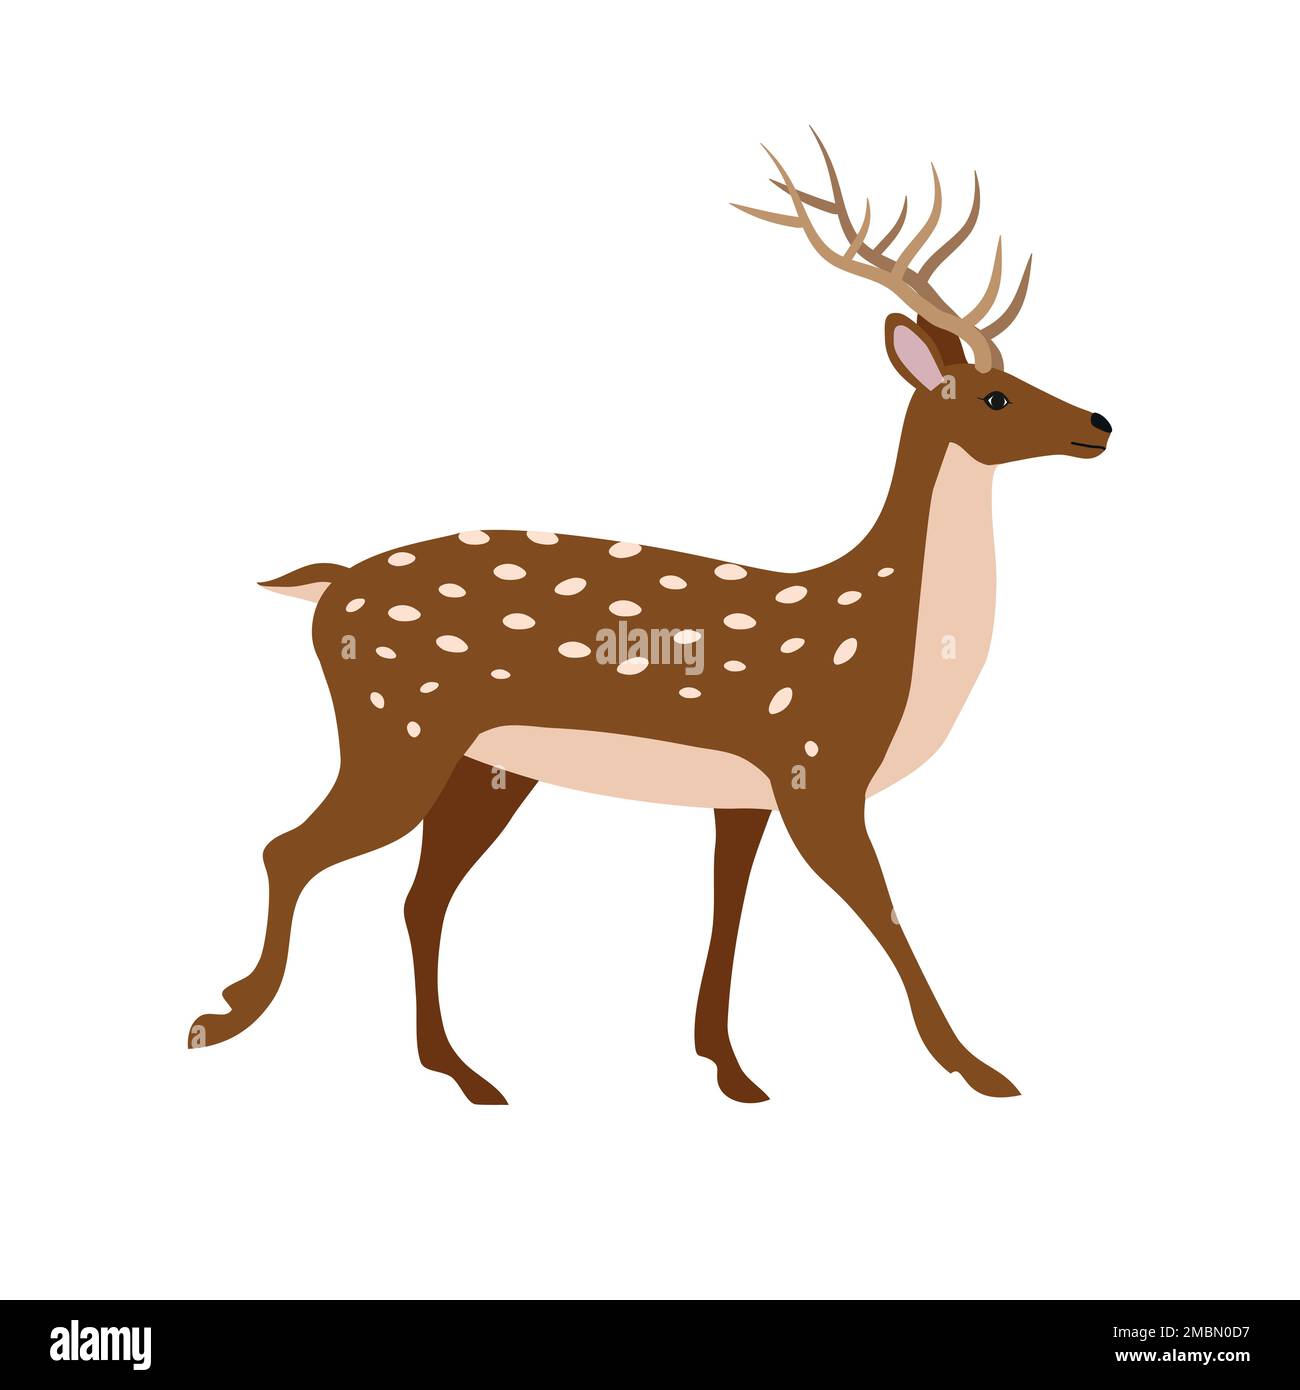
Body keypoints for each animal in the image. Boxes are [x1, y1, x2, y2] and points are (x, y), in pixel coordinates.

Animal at [189, 133, 1113, 1104]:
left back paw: (464, 1074)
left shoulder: (745, 794)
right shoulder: (816, 769)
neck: (893, 641)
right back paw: (225, 1017)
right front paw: (980, 1069)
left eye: (1021, 376)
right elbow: (885, 909)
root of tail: (325, 588)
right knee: (289, 849)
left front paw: (731, 1069)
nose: (1100, 422)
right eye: (995, 397)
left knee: (419, 893)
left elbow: (728, 909)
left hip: (483, 764)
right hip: (395, 729)